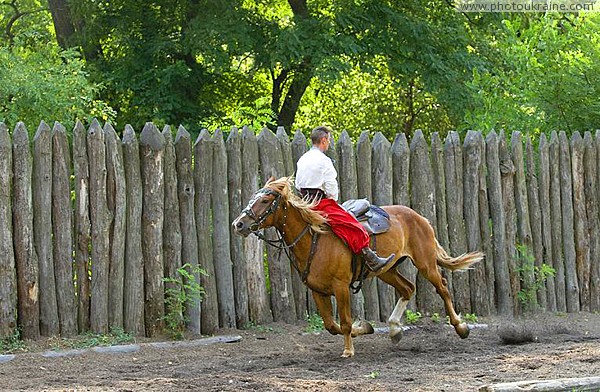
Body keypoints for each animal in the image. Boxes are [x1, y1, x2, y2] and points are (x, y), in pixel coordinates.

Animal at [232, 178, 486, 358]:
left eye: (265, 201)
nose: (239, 224)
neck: (315, 237)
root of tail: (420, 217)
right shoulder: (318, 291)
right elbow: (331, 325)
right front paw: (364, 328)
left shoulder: (341, 287)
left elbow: (343, 322)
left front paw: (348, 349)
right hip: (387, 270)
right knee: (407, 288)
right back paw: (394, 329)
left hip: (426, 264)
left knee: (442, 288)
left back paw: (461, 327)